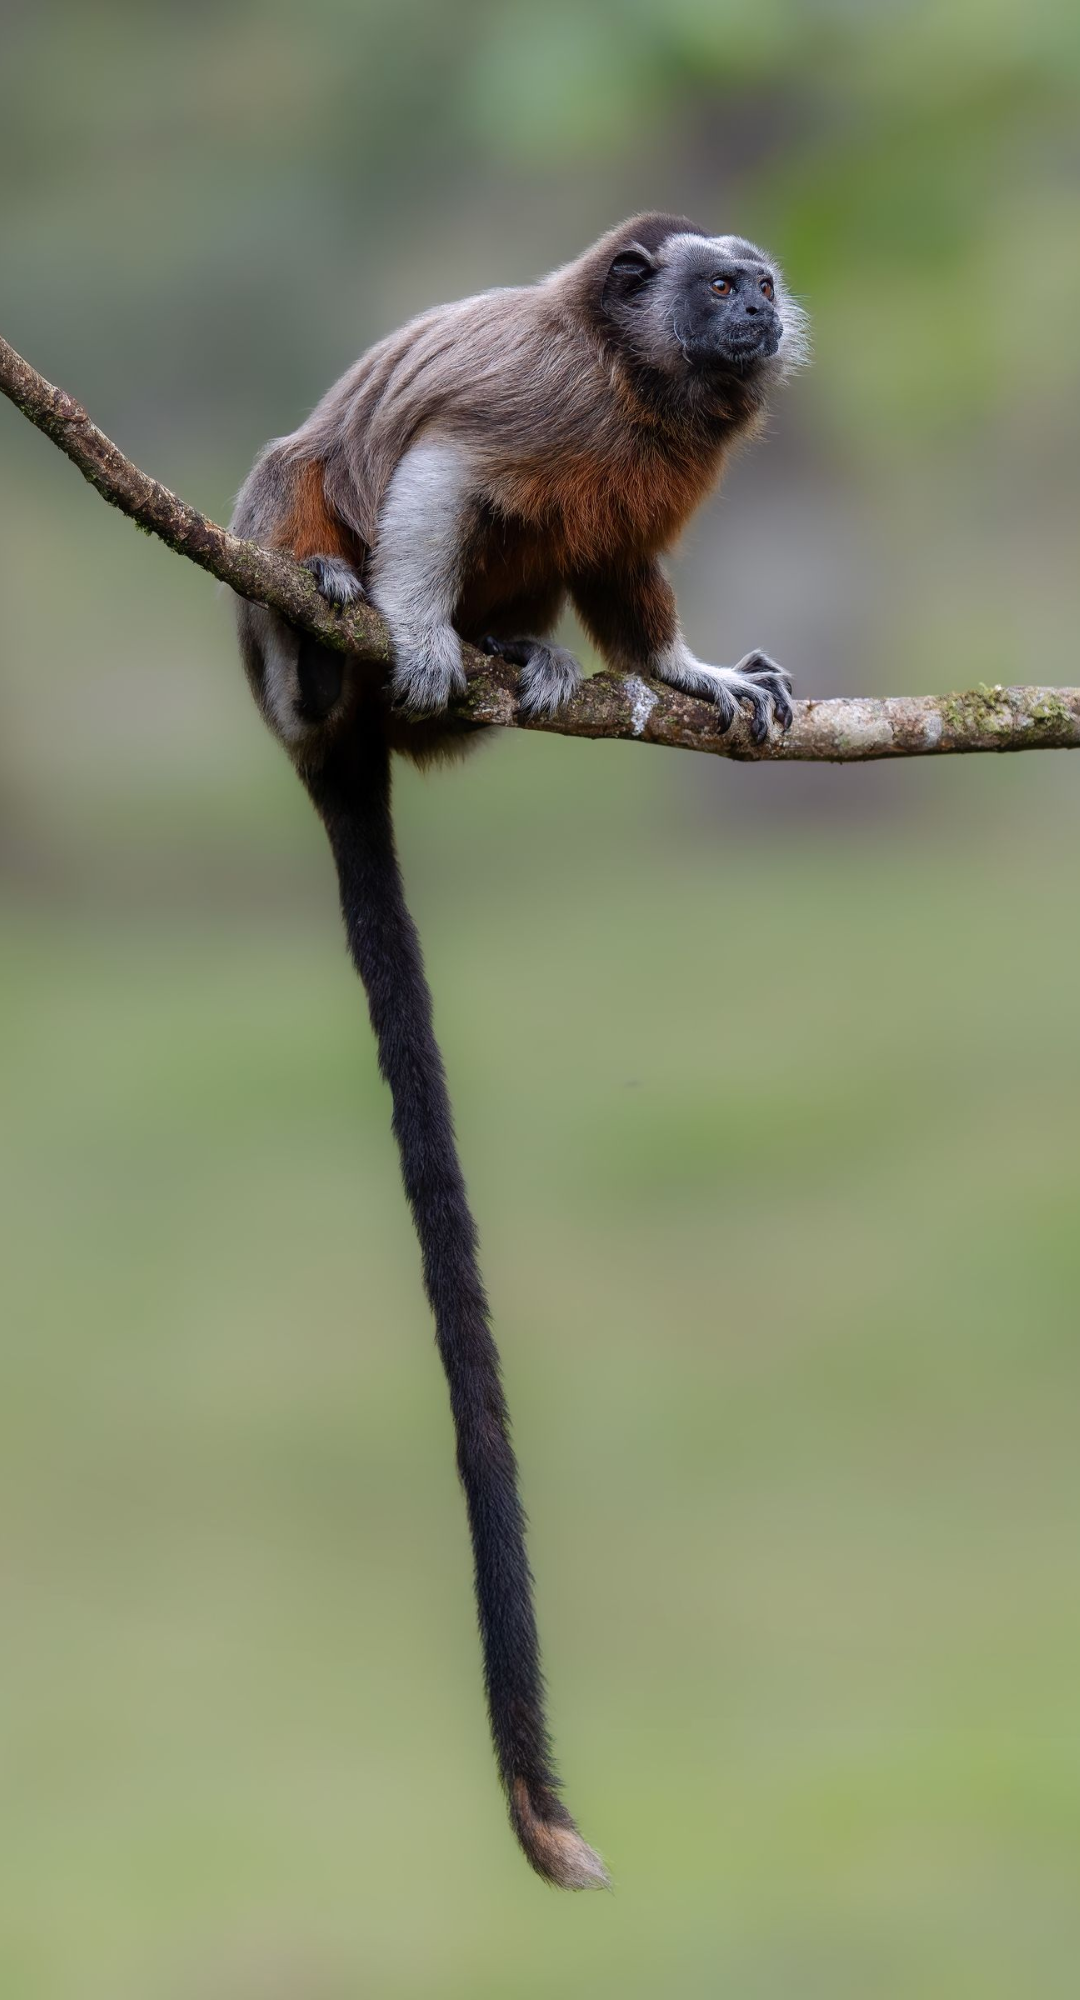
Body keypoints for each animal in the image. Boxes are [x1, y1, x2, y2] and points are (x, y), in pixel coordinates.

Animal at [230, 214, 808, 1889]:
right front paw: (422, 621)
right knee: (302, 483)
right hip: (274, 586)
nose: (758, 311)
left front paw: (683, 677)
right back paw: (328, 641)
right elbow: (438, 473)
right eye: (718, 285)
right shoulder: (534, 395)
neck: (641, 385)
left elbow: (622, 579)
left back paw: (515, 662)